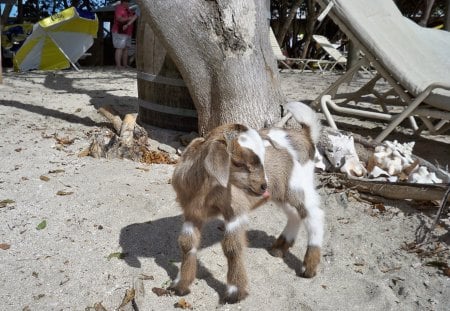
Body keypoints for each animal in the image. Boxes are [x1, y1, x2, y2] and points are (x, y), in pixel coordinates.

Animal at [170, 103, 324, 304]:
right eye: (238, 162)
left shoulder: (235, 210)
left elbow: (232, 247)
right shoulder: (191, 213)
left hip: (298, 185)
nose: (263, 185)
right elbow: (186, 243)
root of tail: (305, 136)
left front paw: (235, 292)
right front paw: (181, 285)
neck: (206, 192)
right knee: (295, 214)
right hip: (280, 192)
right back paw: (279, 248)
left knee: (314, 214)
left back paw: (308, 268)